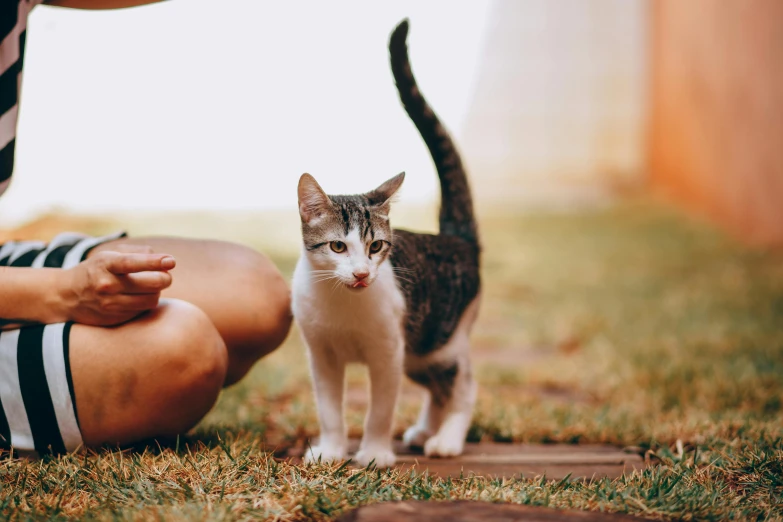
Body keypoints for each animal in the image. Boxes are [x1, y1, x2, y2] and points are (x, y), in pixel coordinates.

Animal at [290, 19, 480, 468]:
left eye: (376, 247)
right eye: (337, 247)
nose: (362, 274)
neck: (342, 303)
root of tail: (455, 236)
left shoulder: (388, 352)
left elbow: (380, 408)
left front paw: (374, 452)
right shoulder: (321, 355)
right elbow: (329, 408)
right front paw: (332, 449)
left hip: (441, 338)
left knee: (463, 385)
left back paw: (447, 438)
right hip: (421, 349)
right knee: (438, 387)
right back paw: (426, 429)